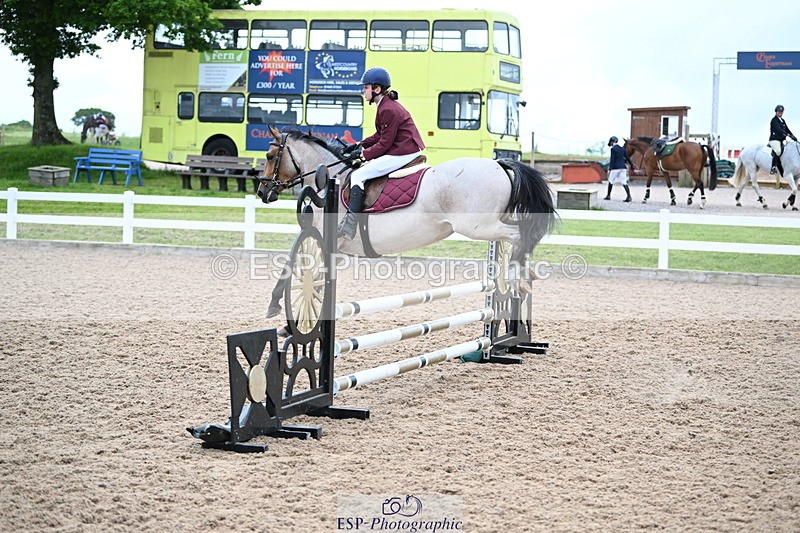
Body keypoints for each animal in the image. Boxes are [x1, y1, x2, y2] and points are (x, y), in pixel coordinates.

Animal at [256, 125, 557, 317]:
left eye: (270, 156)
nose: (262, 192)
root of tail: (499, 164)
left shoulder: (322, 241)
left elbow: (290, 265)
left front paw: (274, 305)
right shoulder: (332, 249)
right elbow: (315, 278)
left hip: (480, 227)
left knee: (520, 235)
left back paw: (518, 277)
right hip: (493, 223)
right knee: (522, 236)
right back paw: (524, 278)